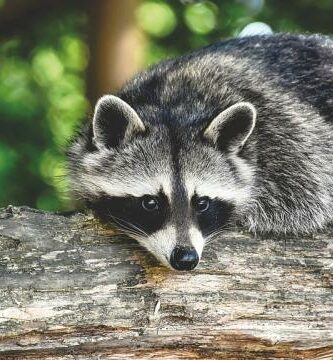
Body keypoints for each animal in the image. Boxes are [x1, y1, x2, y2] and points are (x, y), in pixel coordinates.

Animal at [66, 33, 332, 270]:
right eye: (150, 203)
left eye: (202, 202)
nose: (185, 259)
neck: (172, 104)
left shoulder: (289, 139)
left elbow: (310, 200)